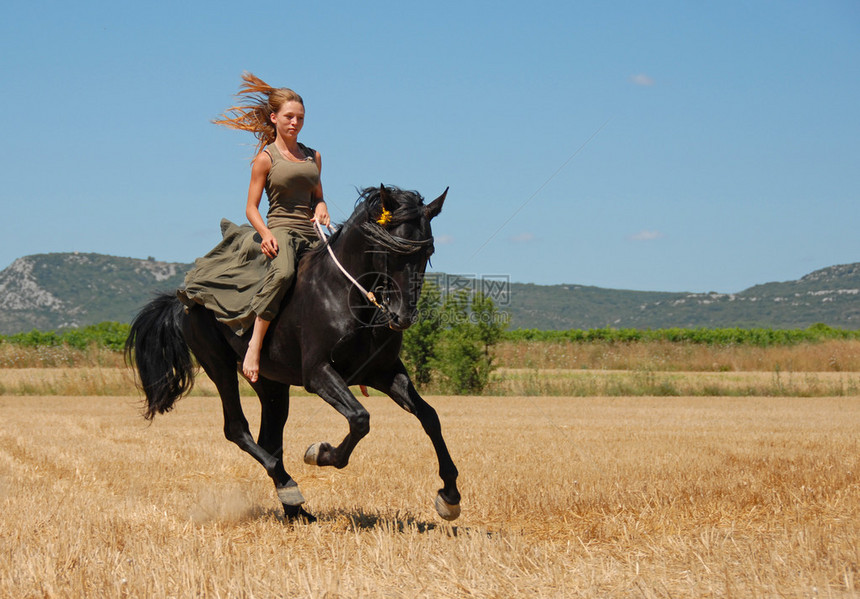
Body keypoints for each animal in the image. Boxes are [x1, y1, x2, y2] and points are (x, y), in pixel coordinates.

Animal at [125, 185, 460, 524]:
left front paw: (449, 496)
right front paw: (320, 453)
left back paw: (294, 509)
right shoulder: (318, 374)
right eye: (388, 250)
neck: (346, 295)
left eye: (427, 253)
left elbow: (430, 417)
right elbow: (360, 419)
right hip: (219, 366)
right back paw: (290, 489)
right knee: (237, 429)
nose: (402, 317)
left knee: (270, 440)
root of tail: (183, 299)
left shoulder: (385, 372)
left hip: (272, 384)